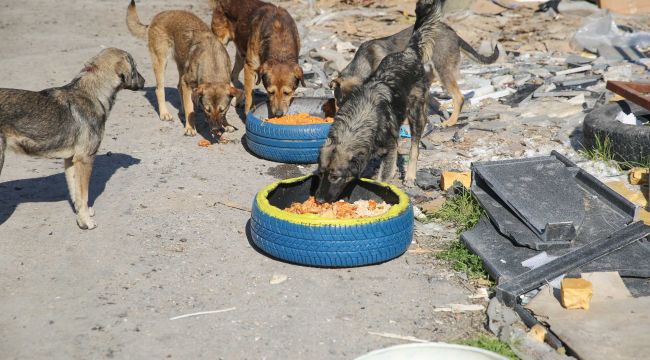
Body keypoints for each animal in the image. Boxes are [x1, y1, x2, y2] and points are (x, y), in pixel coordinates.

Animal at [125, 0, 239, 136]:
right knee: (159, 90)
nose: (216, 129)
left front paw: (226, 124)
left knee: (179, 86)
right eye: (207, 110)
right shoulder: (187, 83)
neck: (214, 66)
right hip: (161, 62)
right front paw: (190, 127)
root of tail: (158, 16)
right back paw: (164, 113)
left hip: (182, 63)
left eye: (222, 110)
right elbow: (191, 108)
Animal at [314, 0, 440, 202]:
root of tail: (409, 52)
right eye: (320, 174)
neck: (356, 122)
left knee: (414, 145)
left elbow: (384, 175)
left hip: (416, 112)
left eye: (335, 177)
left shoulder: (389, 146)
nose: (318, 200)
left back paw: (410, 175)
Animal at [326, 19, 498, 128]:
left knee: (459, 97)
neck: (364, 63)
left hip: (443, 71)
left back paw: (450, 121)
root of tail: (453, 32)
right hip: (426, 75)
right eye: (339, 103)